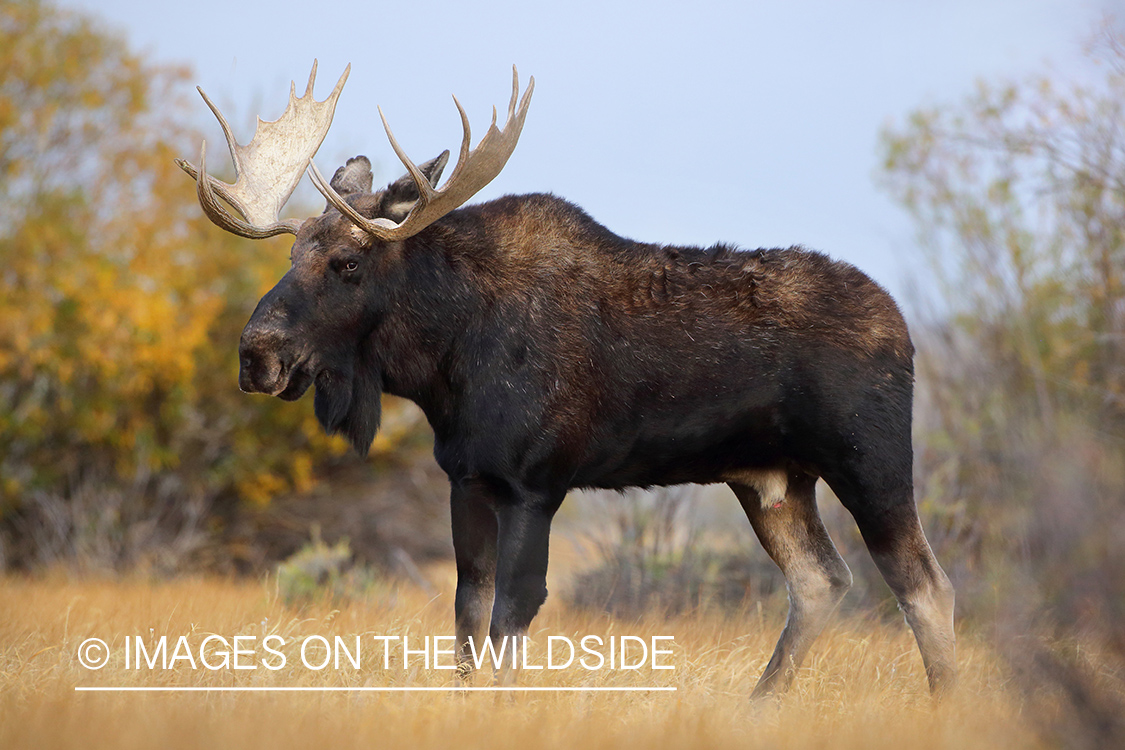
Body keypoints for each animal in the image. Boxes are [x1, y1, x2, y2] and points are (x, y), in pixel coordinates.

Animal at [177, 60, 958, 697]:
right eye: (293, 256)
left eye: (347, 263)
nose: (257, 355)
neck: (446, 357)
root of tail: (902, 324)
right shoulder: (467, 481)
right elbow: (467, 617)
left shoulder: (537, 484)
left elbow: (510, 618)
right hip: (771, 480)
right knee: (822, 581)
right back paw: (760, 703)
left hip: (871, 462)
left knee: (926, 585)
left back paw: (942, 703)